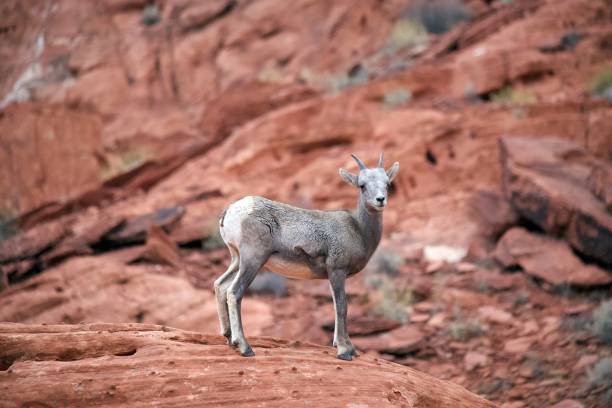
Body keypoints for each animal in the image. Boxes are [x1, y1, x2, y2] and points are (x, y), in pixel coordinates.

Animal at [213, 154, 400, 360]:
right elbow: (341, 306)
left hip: (237, 260)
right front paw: (344, 351)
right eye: (362, 185)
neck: (359, 230)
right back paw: (245, 348)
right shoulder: (337, 270)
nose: (380, 200)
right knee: (234, 292)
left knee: (220, 286)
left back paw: (229, 339)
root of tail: (231, 210)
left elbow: (336, 306)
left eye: (387, 184)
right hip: (252, 261)